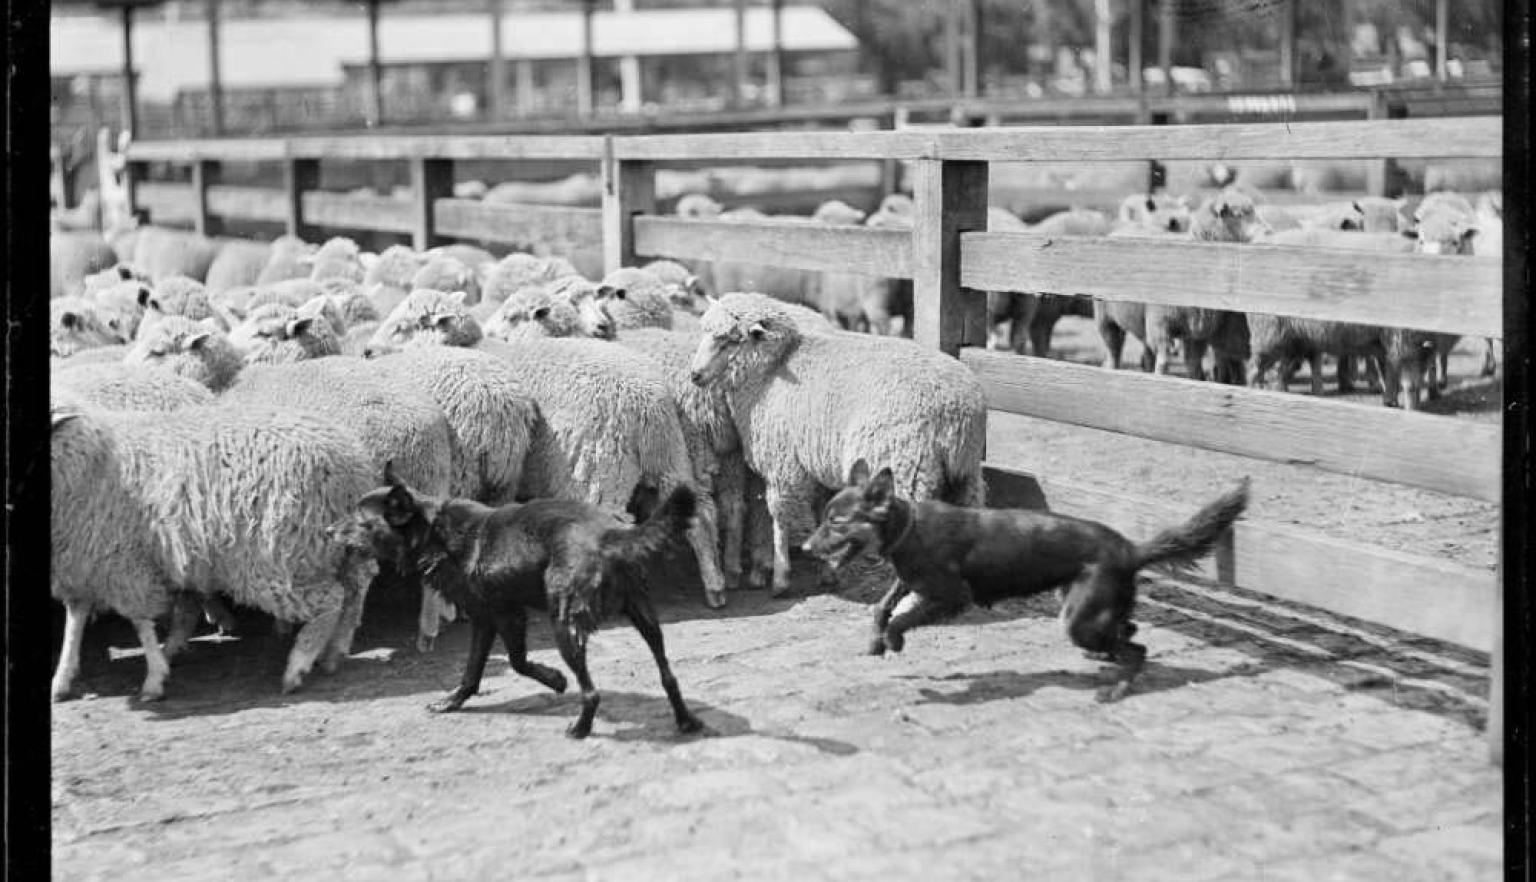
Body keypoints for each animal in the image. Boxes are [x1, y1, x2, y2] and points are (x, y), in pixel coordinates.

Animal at [50, 392, 378, 700]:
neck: (93, 459)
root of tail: (351, 462)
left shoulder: (123, 564)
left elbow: (140, 623)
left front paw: (154, 678)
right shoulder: (78, 565)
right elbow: (75, 621)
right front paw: (62, 678)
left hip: (282, 558)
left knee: (333, 599)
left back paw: (299, 664)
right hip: (340, 548)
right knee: (354, 592)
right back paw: (334, 652)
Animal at [364, 290, 730, 608]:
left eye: (402, 326)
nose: (366, 352)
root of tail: (646, 403)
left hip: (600, 467)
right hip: (669, 455)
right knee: (701, 512)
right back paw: (715, 588)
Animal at [688, 292, 988, 596]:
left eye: (730, 340)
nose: (694, 374)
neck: (771, 373)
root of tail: (956, 410)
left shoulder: (783, 464)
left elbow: (780, 518)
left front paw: (781, 578)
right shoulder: (820, 463)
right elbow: (825, 509)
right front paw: (828, 571)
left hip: (905, 466)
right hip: (963, 474)